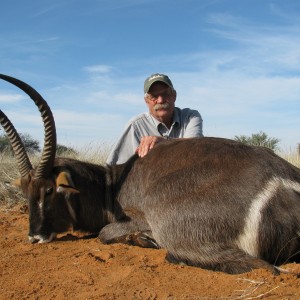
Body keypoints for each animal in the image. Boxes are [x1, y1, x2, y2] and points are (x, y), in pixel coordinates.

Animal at [0, 73, 300, 274]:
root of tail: (284, 182)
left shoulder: (137, 216)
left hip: (168, 219)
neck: (110, 185)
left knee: (264, 267)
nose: (34, 237)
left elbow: (104, 233)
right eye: (26, 192)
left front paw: (141, 238)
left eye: (50, 190)